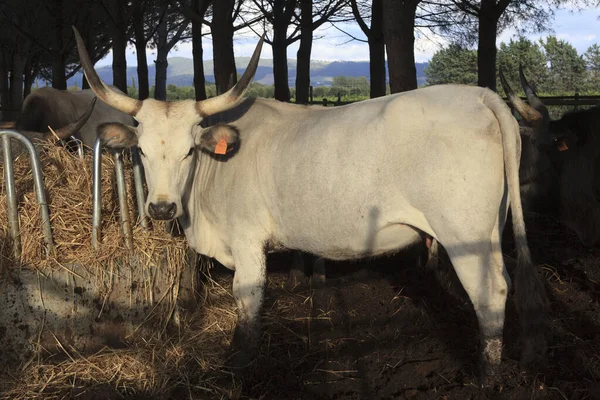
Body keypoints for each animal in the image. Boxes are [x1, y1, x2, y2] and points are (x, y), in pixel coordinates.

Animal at [71, 25, 548, 384]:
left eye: (190, 150)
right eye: (141, 151)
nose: (162, 209)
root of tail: (479, 94)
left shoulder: (247, 242)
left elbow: (247, 303)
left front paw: (241, 366)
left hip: (465, 232)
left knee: (492, 293)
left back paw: (486, 377)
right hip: (490, 229)